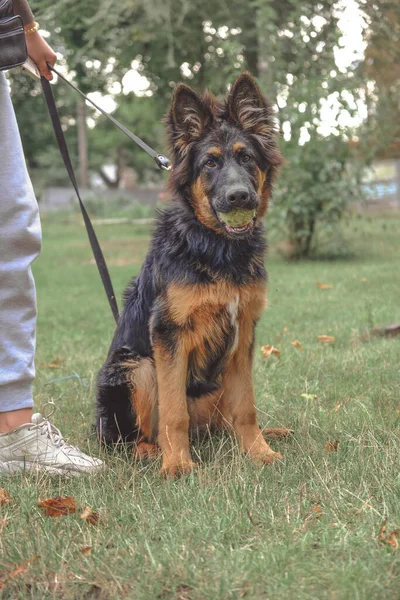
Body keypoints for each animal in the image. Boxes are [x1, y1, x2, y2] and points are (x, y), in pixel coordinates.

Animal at [96, 72, 284, 478]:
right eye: (210, 163)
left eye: (246, 157)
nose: (239, 197)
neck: (218, 247)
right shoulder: (169, 336)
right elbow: (173, 413)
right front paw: (178, 464)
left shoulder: (243, 334)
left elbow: (246, 408)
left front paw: (258, 452)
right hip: (137, 367)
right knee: (135, 436)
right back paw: (150, 452)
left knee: (225, 419)